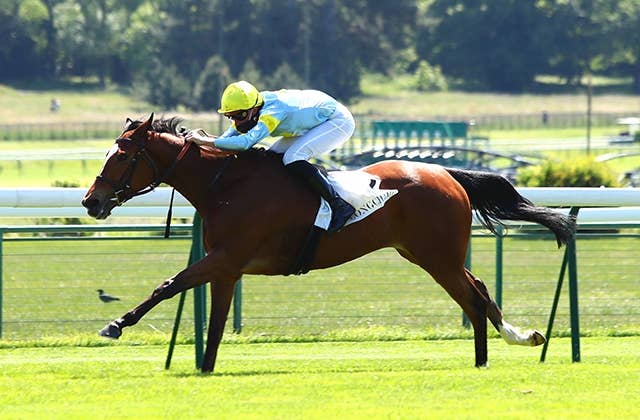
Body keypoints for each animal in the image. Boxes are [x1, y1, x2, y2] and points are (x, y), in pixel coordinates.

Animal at [82, 114, 575, 373]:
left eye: (122, 156)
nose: (91, 201)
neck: (227, 184)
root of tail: (446, 173)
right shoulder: (227, 266)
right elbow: (216, 319)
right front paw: (205, 365)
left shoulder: (226, 257)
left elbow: (168, 285)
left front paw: (116, 324)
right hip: (428, 254)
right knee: (480, 293)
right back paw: (512, 342)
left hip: (438, 257)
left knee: (473, 298)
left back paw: (489, 357)